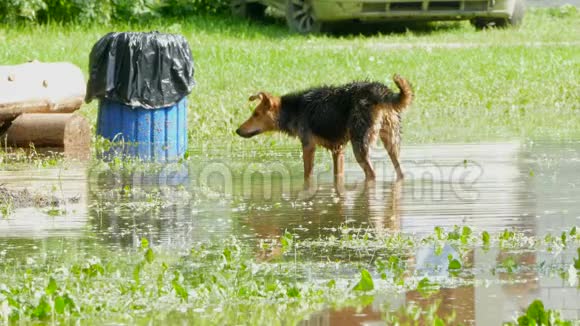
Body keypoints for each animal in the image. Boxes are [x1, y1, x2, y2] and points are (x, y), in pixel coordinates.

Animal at [236, 74, 412, 181]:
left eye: (256, 114)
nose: (237, 130)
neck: (293, 110)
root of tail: (379, 89)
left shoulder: (308, 146)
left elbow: (308, 174)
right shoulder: (338, 149)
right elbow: (337, 175)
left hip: (360, 145)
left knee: (372, 174)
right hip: (392, 141)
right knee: (400, 171)